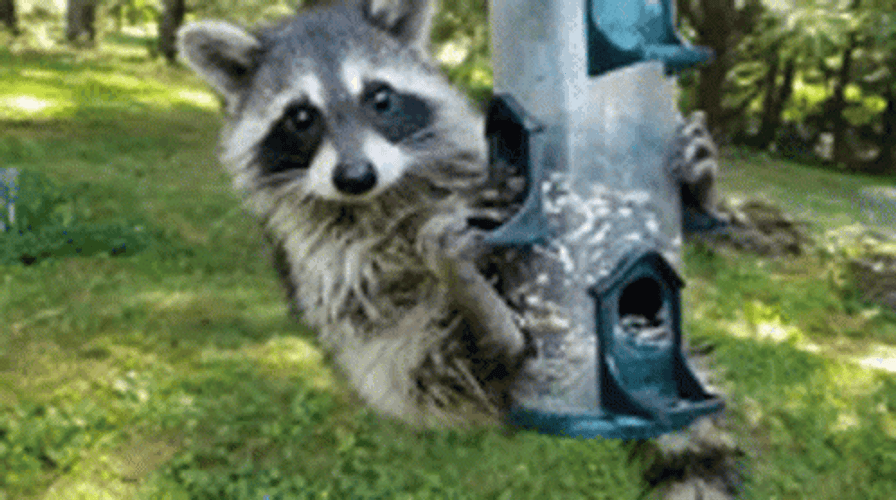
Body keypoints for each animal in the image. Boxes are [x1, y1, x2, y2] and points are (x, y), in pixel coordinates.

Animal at [177, 0, 739, 497]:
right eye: (301, 117)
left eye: (379, 98)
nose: (355, 177)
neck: (387, 191)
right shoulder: (316, 252)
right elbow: (364, 287)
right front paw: (429, 249)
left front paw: (699, 191)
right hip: (387, 373)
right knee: (423, 354)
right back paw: (485, 317)